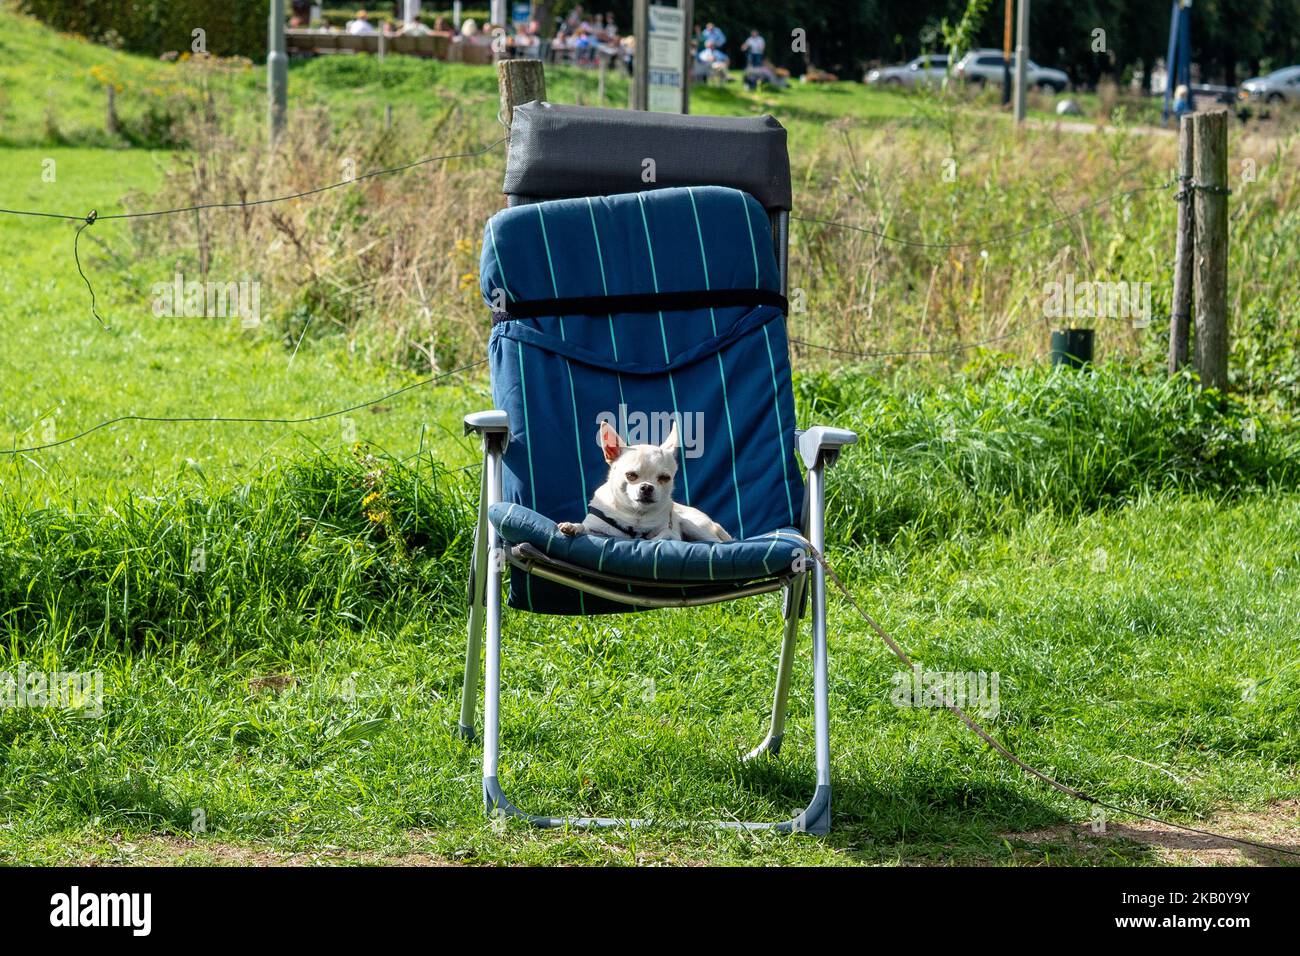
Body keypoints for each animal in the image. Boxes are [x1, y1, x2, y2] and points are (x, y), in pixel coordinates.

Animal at [556, 421, 733, 541]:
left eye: (664, 478)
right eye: (630, 475)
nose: (647, 487)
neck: (636, 516)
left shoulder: (671, 531)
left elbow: (666, 534)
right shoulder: (595, 528)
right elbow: (584, 527)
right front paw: (572, 526)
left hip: (694, 526)